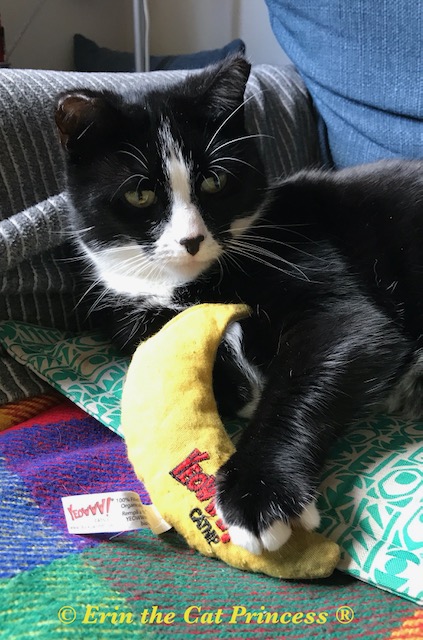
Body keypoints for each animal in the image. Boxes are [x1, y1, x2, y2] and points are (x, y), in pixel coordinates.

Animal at [56, 56, 423, 555]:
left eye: (214, 180)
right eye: (139, 194)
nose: (191, 240)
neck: (189, 284)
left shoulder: (326, 283)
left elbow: (324, 354)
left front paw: (259, 491)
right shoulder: (126, 309)